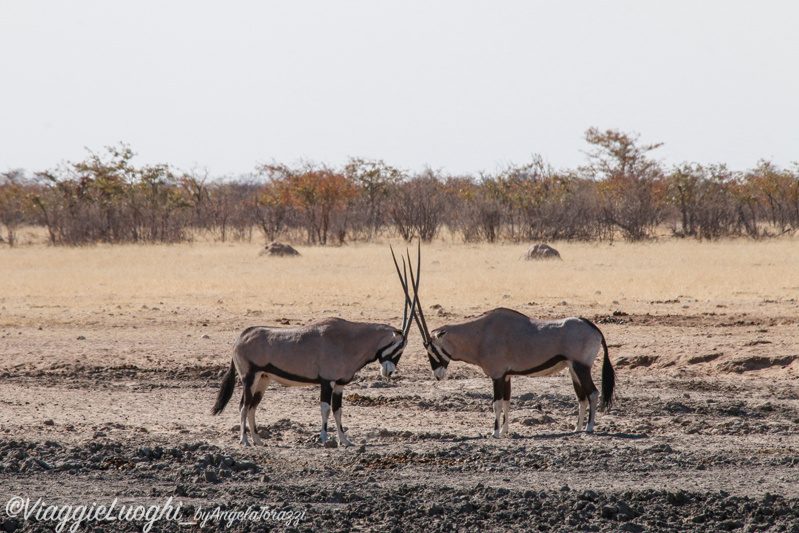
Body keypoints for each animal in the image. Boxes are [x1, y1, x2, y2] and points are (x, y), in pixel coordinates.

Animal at [212, 251, 418, 446]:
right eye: (400, 345)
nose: (388, 371)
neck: (349, 339)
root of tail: (241, 337)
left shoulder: (339, 384)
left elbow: (338, 410)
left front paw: (345, 440)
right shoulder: (327, 381)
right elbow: (325, 409)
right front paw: (325, 439)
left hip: (263, 379)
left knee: (252, 407)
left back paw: (258, 440)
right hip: (249, 377)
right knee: (243, 406)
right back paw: (245, 440)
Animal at [406, 254, 620, 436]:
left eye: (432, 348)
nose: (437, 375)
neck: (480, 333)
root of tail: (594, 329)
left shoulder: (497, 375)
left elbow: (496, 404)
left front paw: (495, 433)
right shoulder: (507, 375)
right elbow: (507, 403)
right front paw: (505, 431)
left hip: (581, 366)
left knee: (593, 393)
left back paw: (589, 428)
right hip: (573, 369)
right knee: (582, 397)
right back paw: (577, 428)